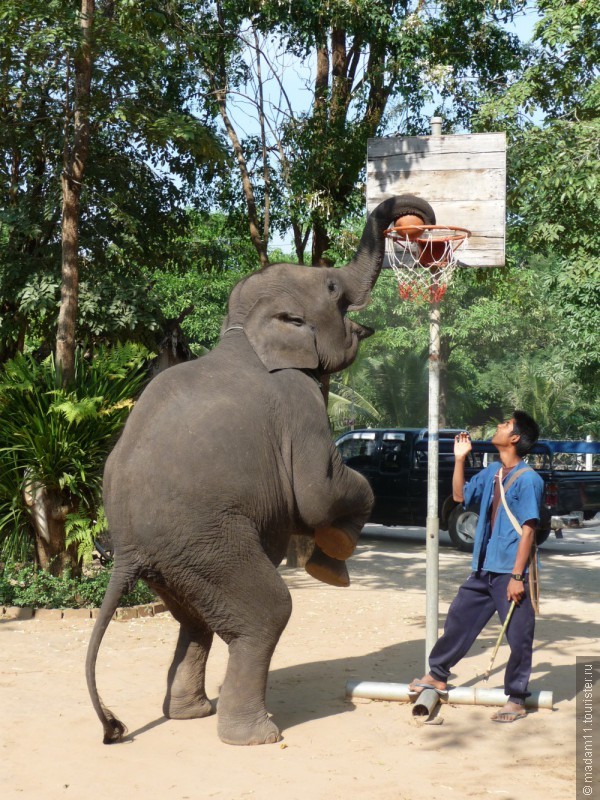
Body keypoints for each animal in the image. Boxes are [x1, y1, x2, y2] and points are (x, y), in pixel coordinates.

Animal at [86, 194, 436, 744]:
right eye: (332, 288)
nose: (416, 225)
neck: (244, 331)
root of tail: (123, 554)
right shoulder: (299, 399)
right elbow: (319, 491)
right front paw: (331, 562)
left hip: (175, 564)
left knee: (194, 621)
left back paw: (191, 713)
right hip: (207, 543)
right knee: (266, 613)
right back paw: (257, 735)